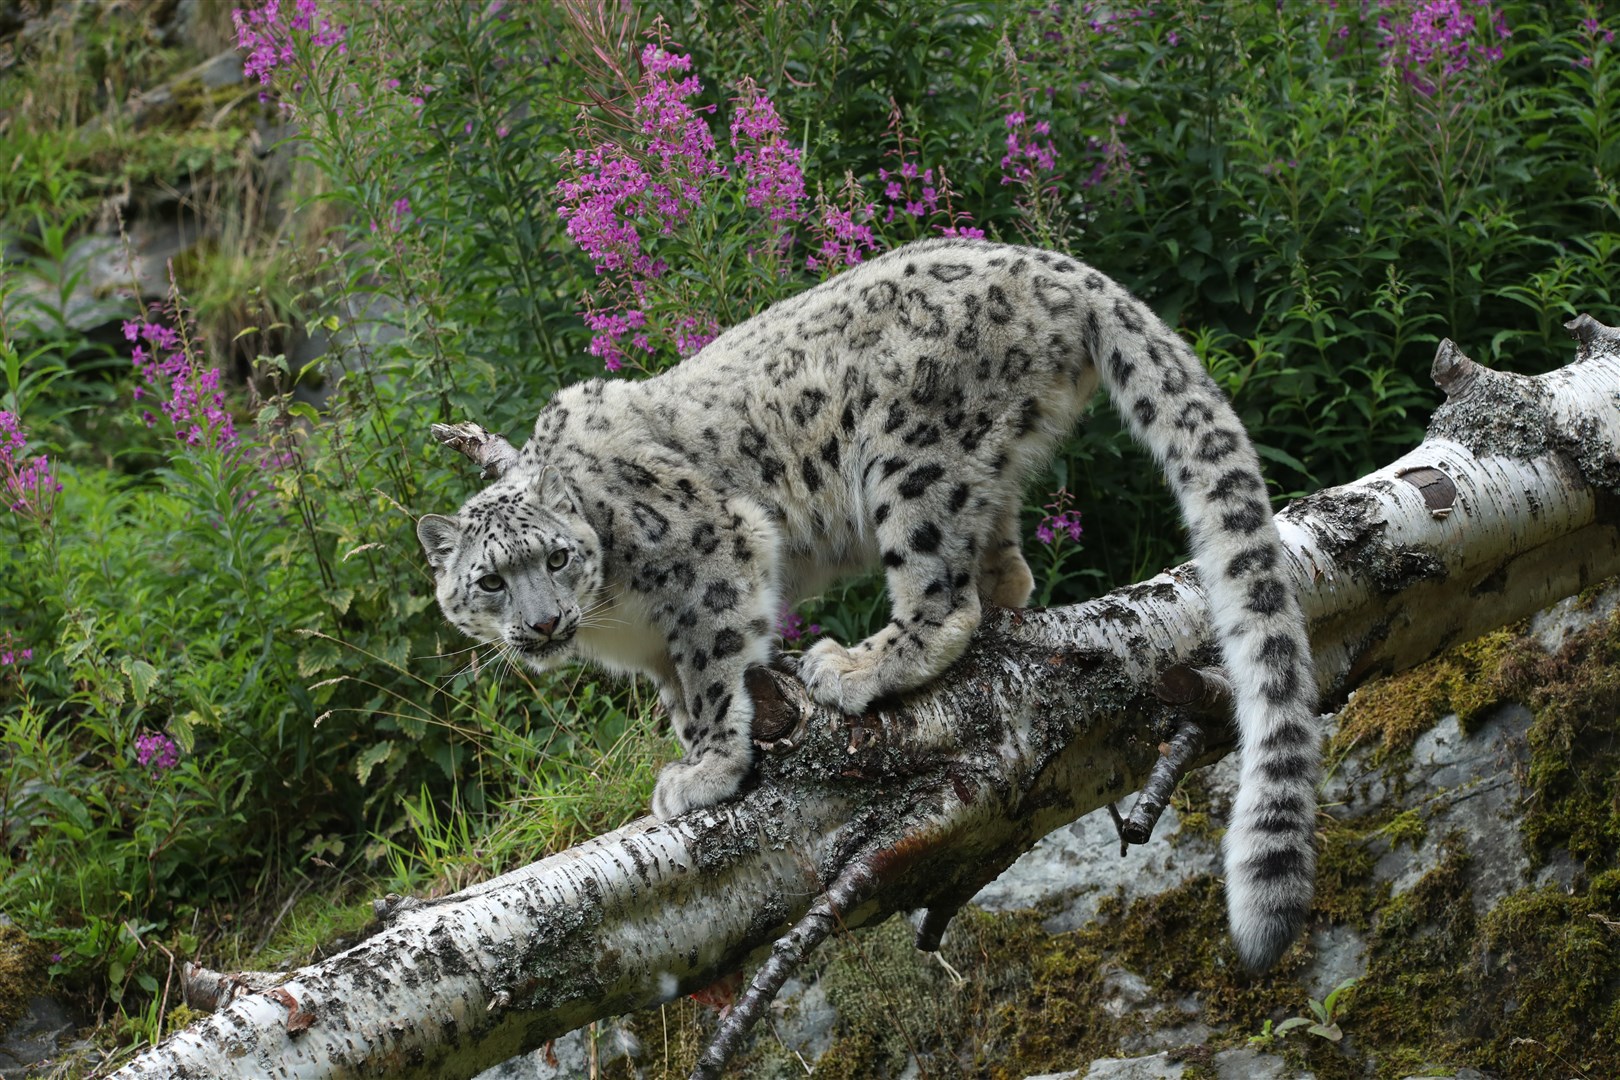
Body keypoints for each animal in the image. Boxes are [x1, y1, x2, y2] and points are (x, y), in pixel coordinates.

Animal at [414, 238, 1315, 971]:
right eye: (491, 580)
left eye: (556, 557)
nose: (540, 623)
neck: (613, 619)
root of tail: (1052, 264)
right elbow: (681, 688)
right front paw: (689, 746)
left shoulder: (713, 552)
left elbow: (714, 670)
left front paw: (705, 770)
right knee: (1007, 569)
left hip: (909, 458)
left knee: (943, 595)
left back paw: (859, 666)